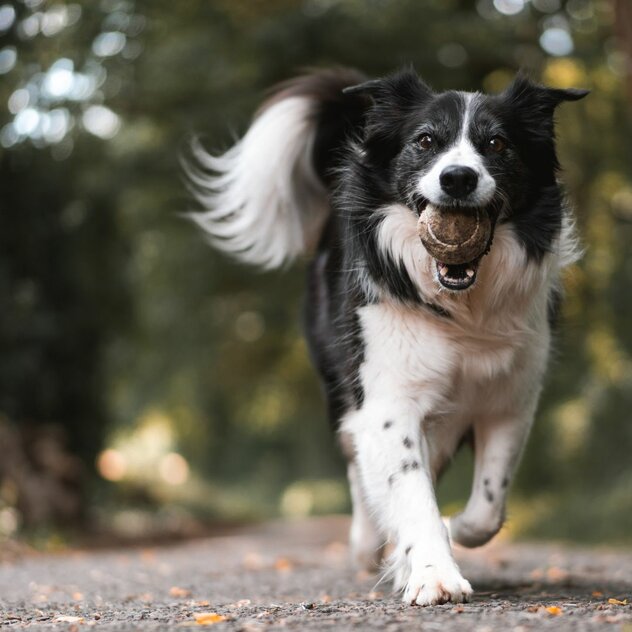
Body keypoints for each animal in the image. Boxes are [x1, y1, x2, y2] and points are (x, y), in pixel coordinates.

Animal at [185, 66, 592, 604]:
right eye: (425, 141)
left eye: (497, 143)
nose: (457, 177)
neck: (462, 307)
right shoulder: (387, 399)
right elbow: (410, 491)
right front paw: (434, 574)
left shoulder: (510, 399)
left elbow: (487, 506)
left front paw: (449, 534)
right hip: (342, 388)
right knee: (360, 468)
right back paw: (367, 545)